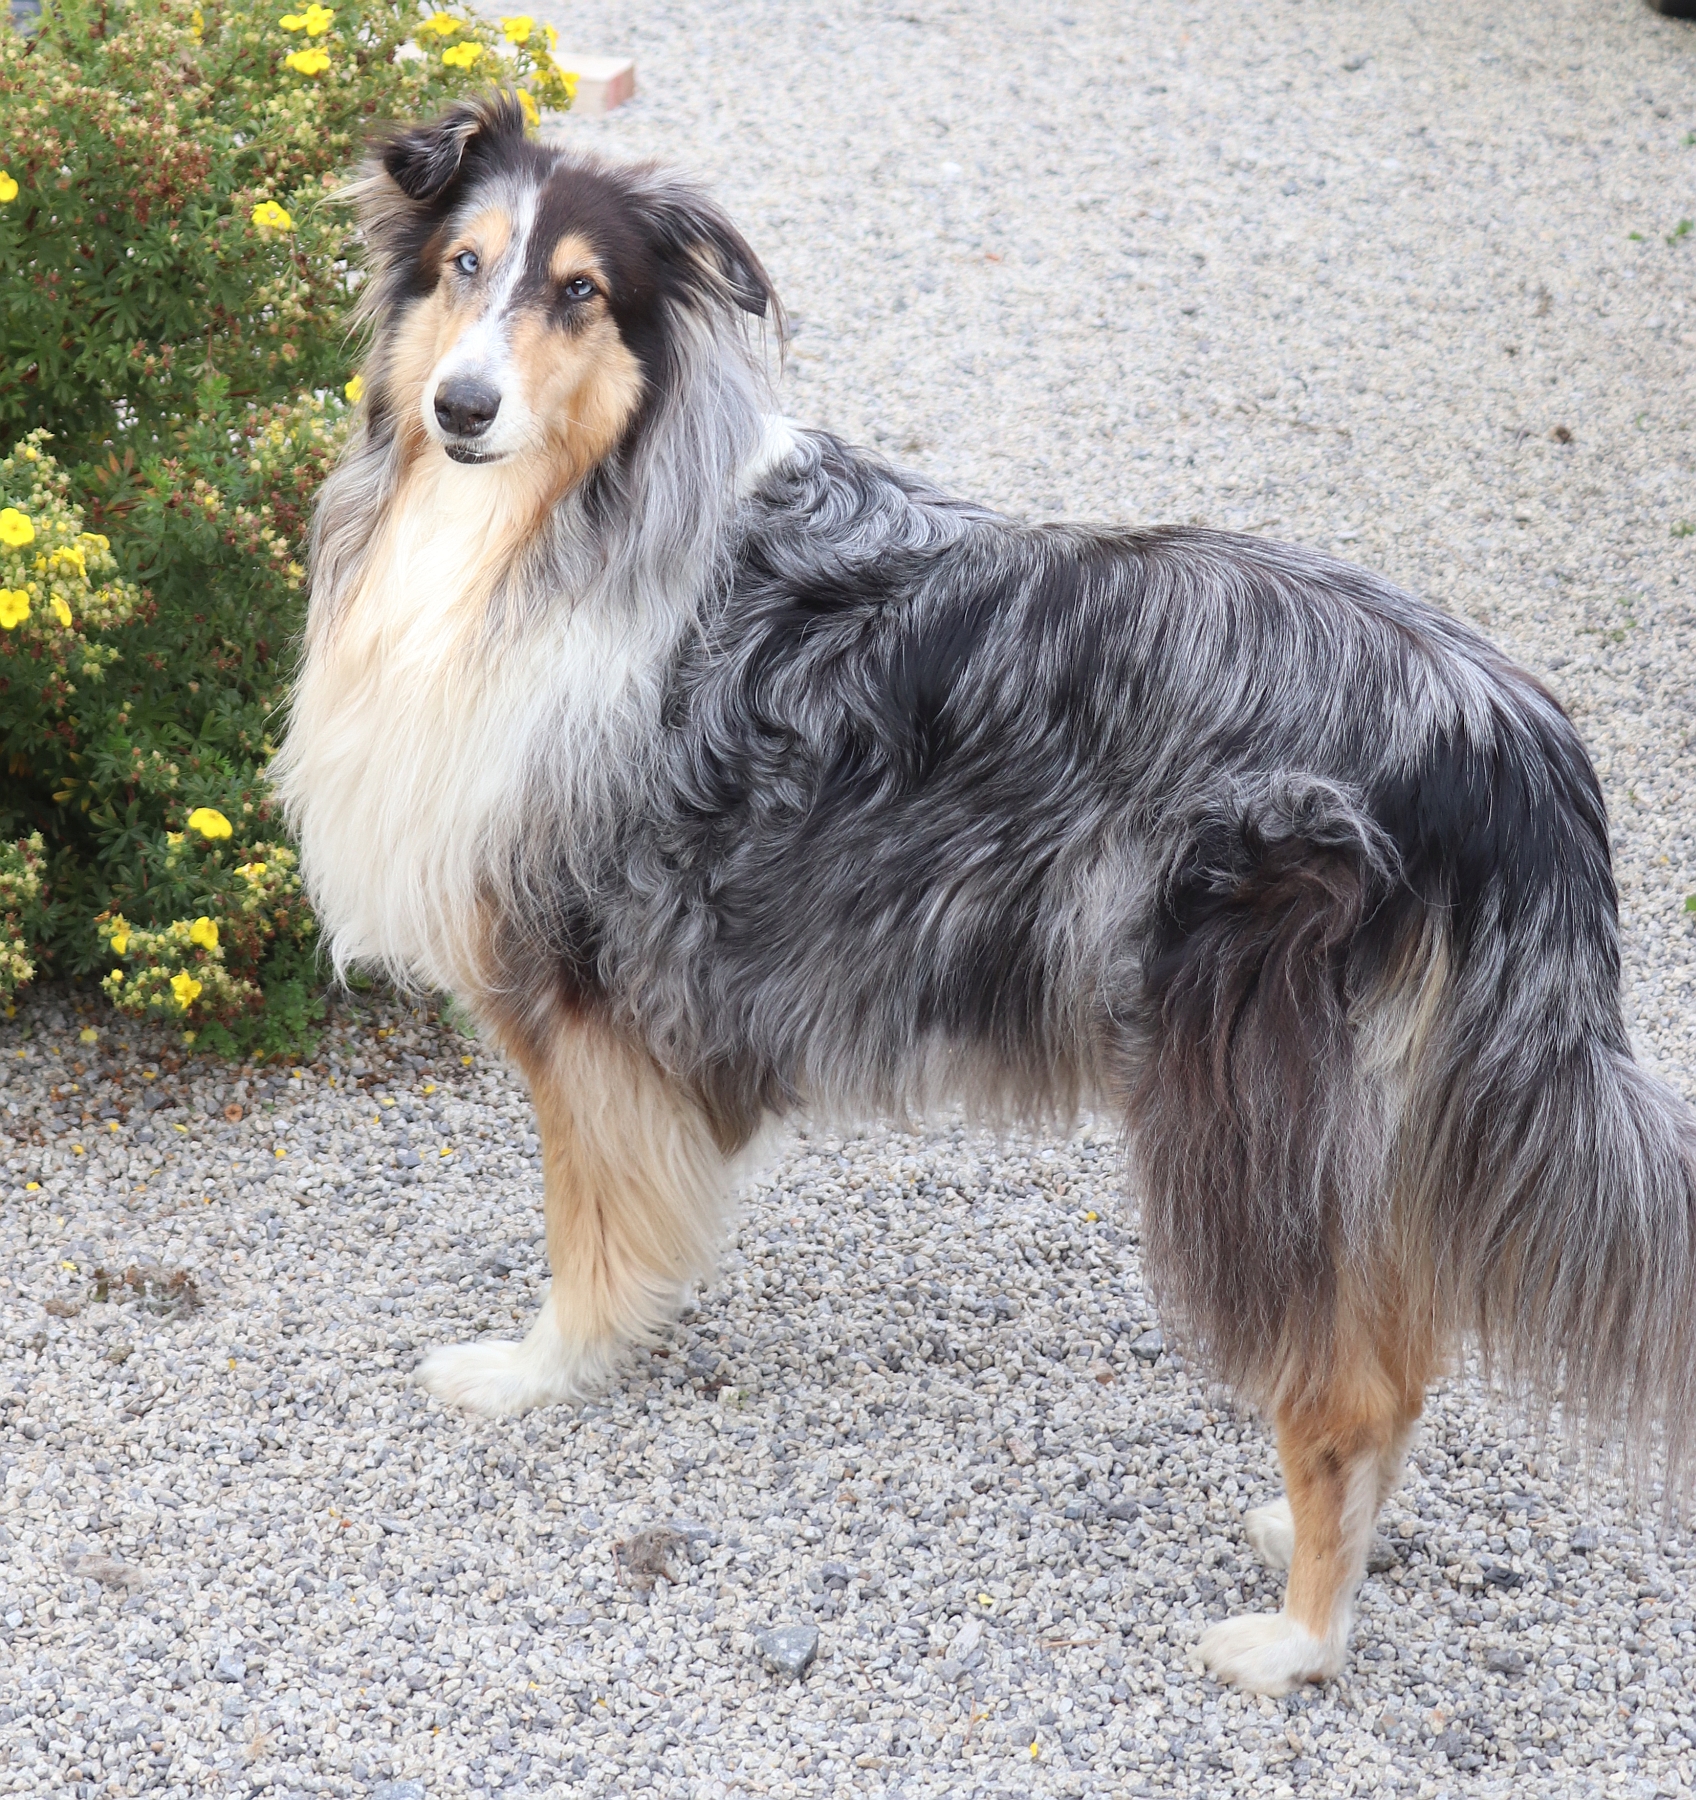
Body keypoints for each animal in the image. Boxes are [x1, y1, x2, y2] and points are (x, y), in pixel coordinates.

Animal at [273, 92, 1696, 1696]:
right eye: (463, 264)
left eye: (579, 292)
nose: (462, 409)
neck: (569, 512)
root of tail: (1514, 736)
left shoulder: (579, 994)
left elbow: (589, 1228)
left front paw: (537, 1373)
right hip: (1372, 1116)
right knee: (1393, 1367)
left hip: (1235, 1096)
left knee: (1338, 1389)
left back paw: (1295, 1641)